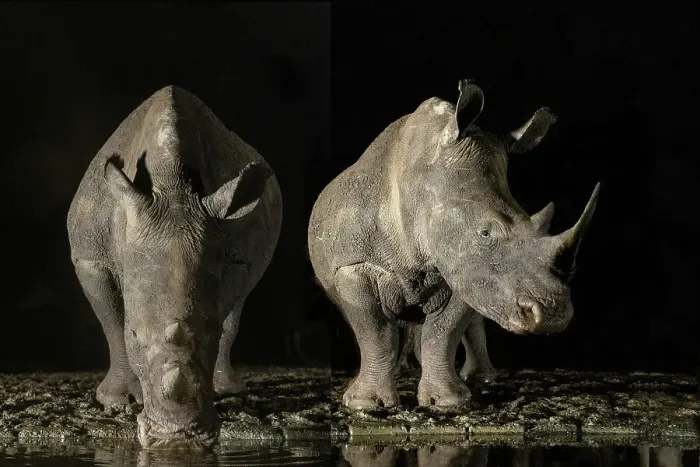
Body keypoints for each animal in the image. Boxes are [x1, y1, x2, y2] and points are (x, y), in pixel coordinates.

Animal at [67, 86, 282, 448]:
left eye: (209, 334)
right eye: (135, 335)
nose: (178, 437)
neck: (173, 189)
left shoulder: (233, 256)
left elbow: (224, 313)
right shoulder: (90, 258)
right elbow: (112, 323)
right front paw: (119, 401)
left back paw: (229, 390)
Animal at [308, 80, 599, 409]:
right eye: (485, 233)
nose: (551, 315)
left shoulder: (464, 268)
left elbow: (443, 332)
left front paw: (447, 401)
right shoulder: (353, 265)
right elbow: (375, 332)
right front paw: (366, 403)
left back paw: (477, 378)